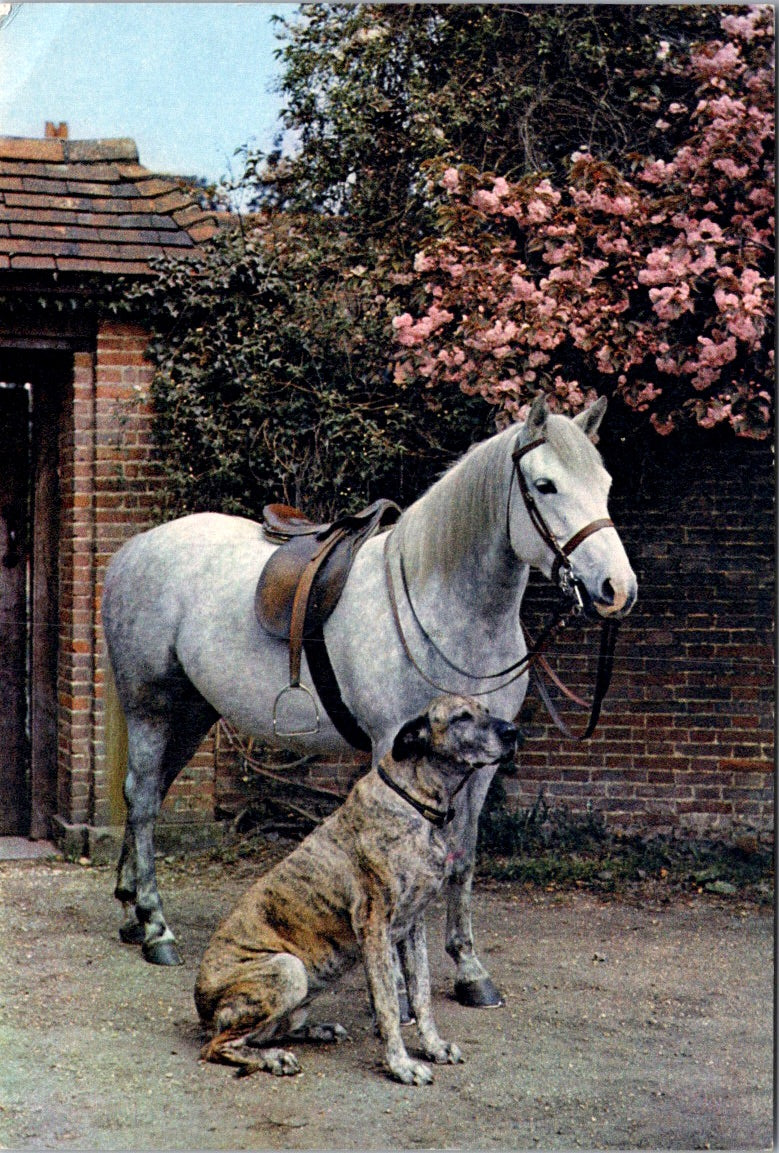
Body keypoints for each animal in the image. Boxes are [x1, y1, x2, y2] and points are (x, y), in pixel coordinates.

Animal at [100, 396, 636, 1010]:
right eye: (545, 485)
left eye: (604, 483)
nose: (617, 588)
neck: (443, 610)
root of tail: (134, 550)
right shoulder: (391, 749)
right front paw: (401, 987)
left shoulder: (483, 765)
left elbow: (463, 858)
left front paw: (469, 969)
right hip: (151, 706)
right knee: (143, 801)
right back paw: (155, 928)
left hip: (192, 713)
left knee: (149, 793)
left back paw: (131, 911)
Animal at [194, 696, 516, 1083]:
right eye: (461, 718)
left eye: (485, 710)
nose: (514, 732)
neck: (415, 801)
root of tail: (201, 1009)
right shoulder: (374, 926)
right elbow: (389, 1004)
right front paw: (401, 1065)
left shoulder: (414, 926)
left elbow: (422, 993)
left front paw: (434, 1046)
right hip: (287, 969)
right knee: (219, 1046)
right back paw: (274, 1059)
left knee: (269, 1031)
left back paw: (317, 1031)